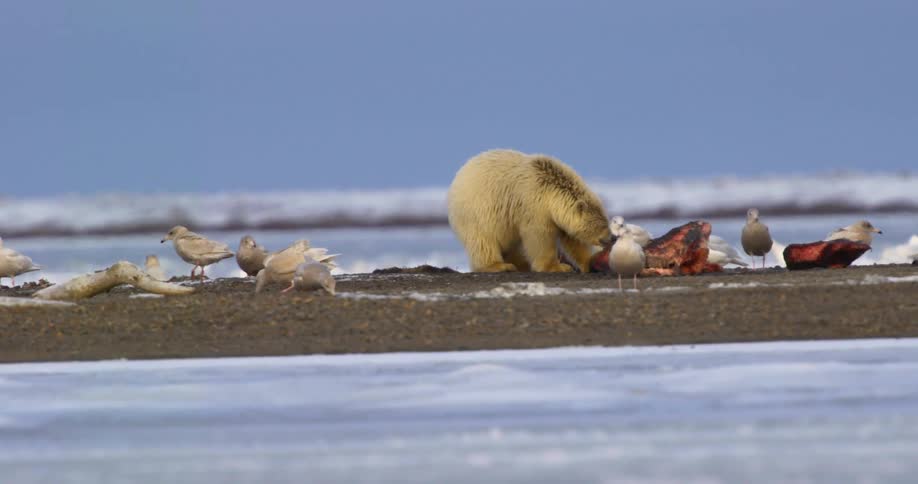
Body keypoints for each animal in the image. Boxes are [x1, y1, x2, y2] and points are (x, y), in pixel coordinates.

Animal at [447, 149, 613, 273]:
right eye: (602, 225)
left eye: (606, 220)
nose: (612, 237)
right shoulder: (533, 205)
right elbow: (539, 236)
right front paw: (558, 266)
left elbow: (572, 239)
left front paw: (588, 263)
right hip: (475, 213)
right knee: (483, 241)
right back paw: (499, 265)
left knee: (512, 244)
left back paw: (520, 263)